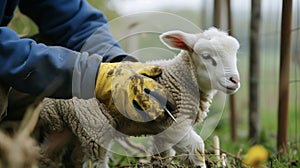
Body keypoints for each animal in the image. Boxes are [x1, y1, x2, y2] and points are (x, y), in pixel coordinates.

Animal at [38, 26, 240, 167]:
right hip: (94, 125)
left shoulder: (162, 129)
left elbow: (163, 154)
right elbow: (198, 148)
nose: (234, 81)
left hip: (64, 128)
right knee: (96, 161)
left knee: (50, 156)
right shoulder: (176, 124)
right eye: (206, 56)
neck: (180, 78)